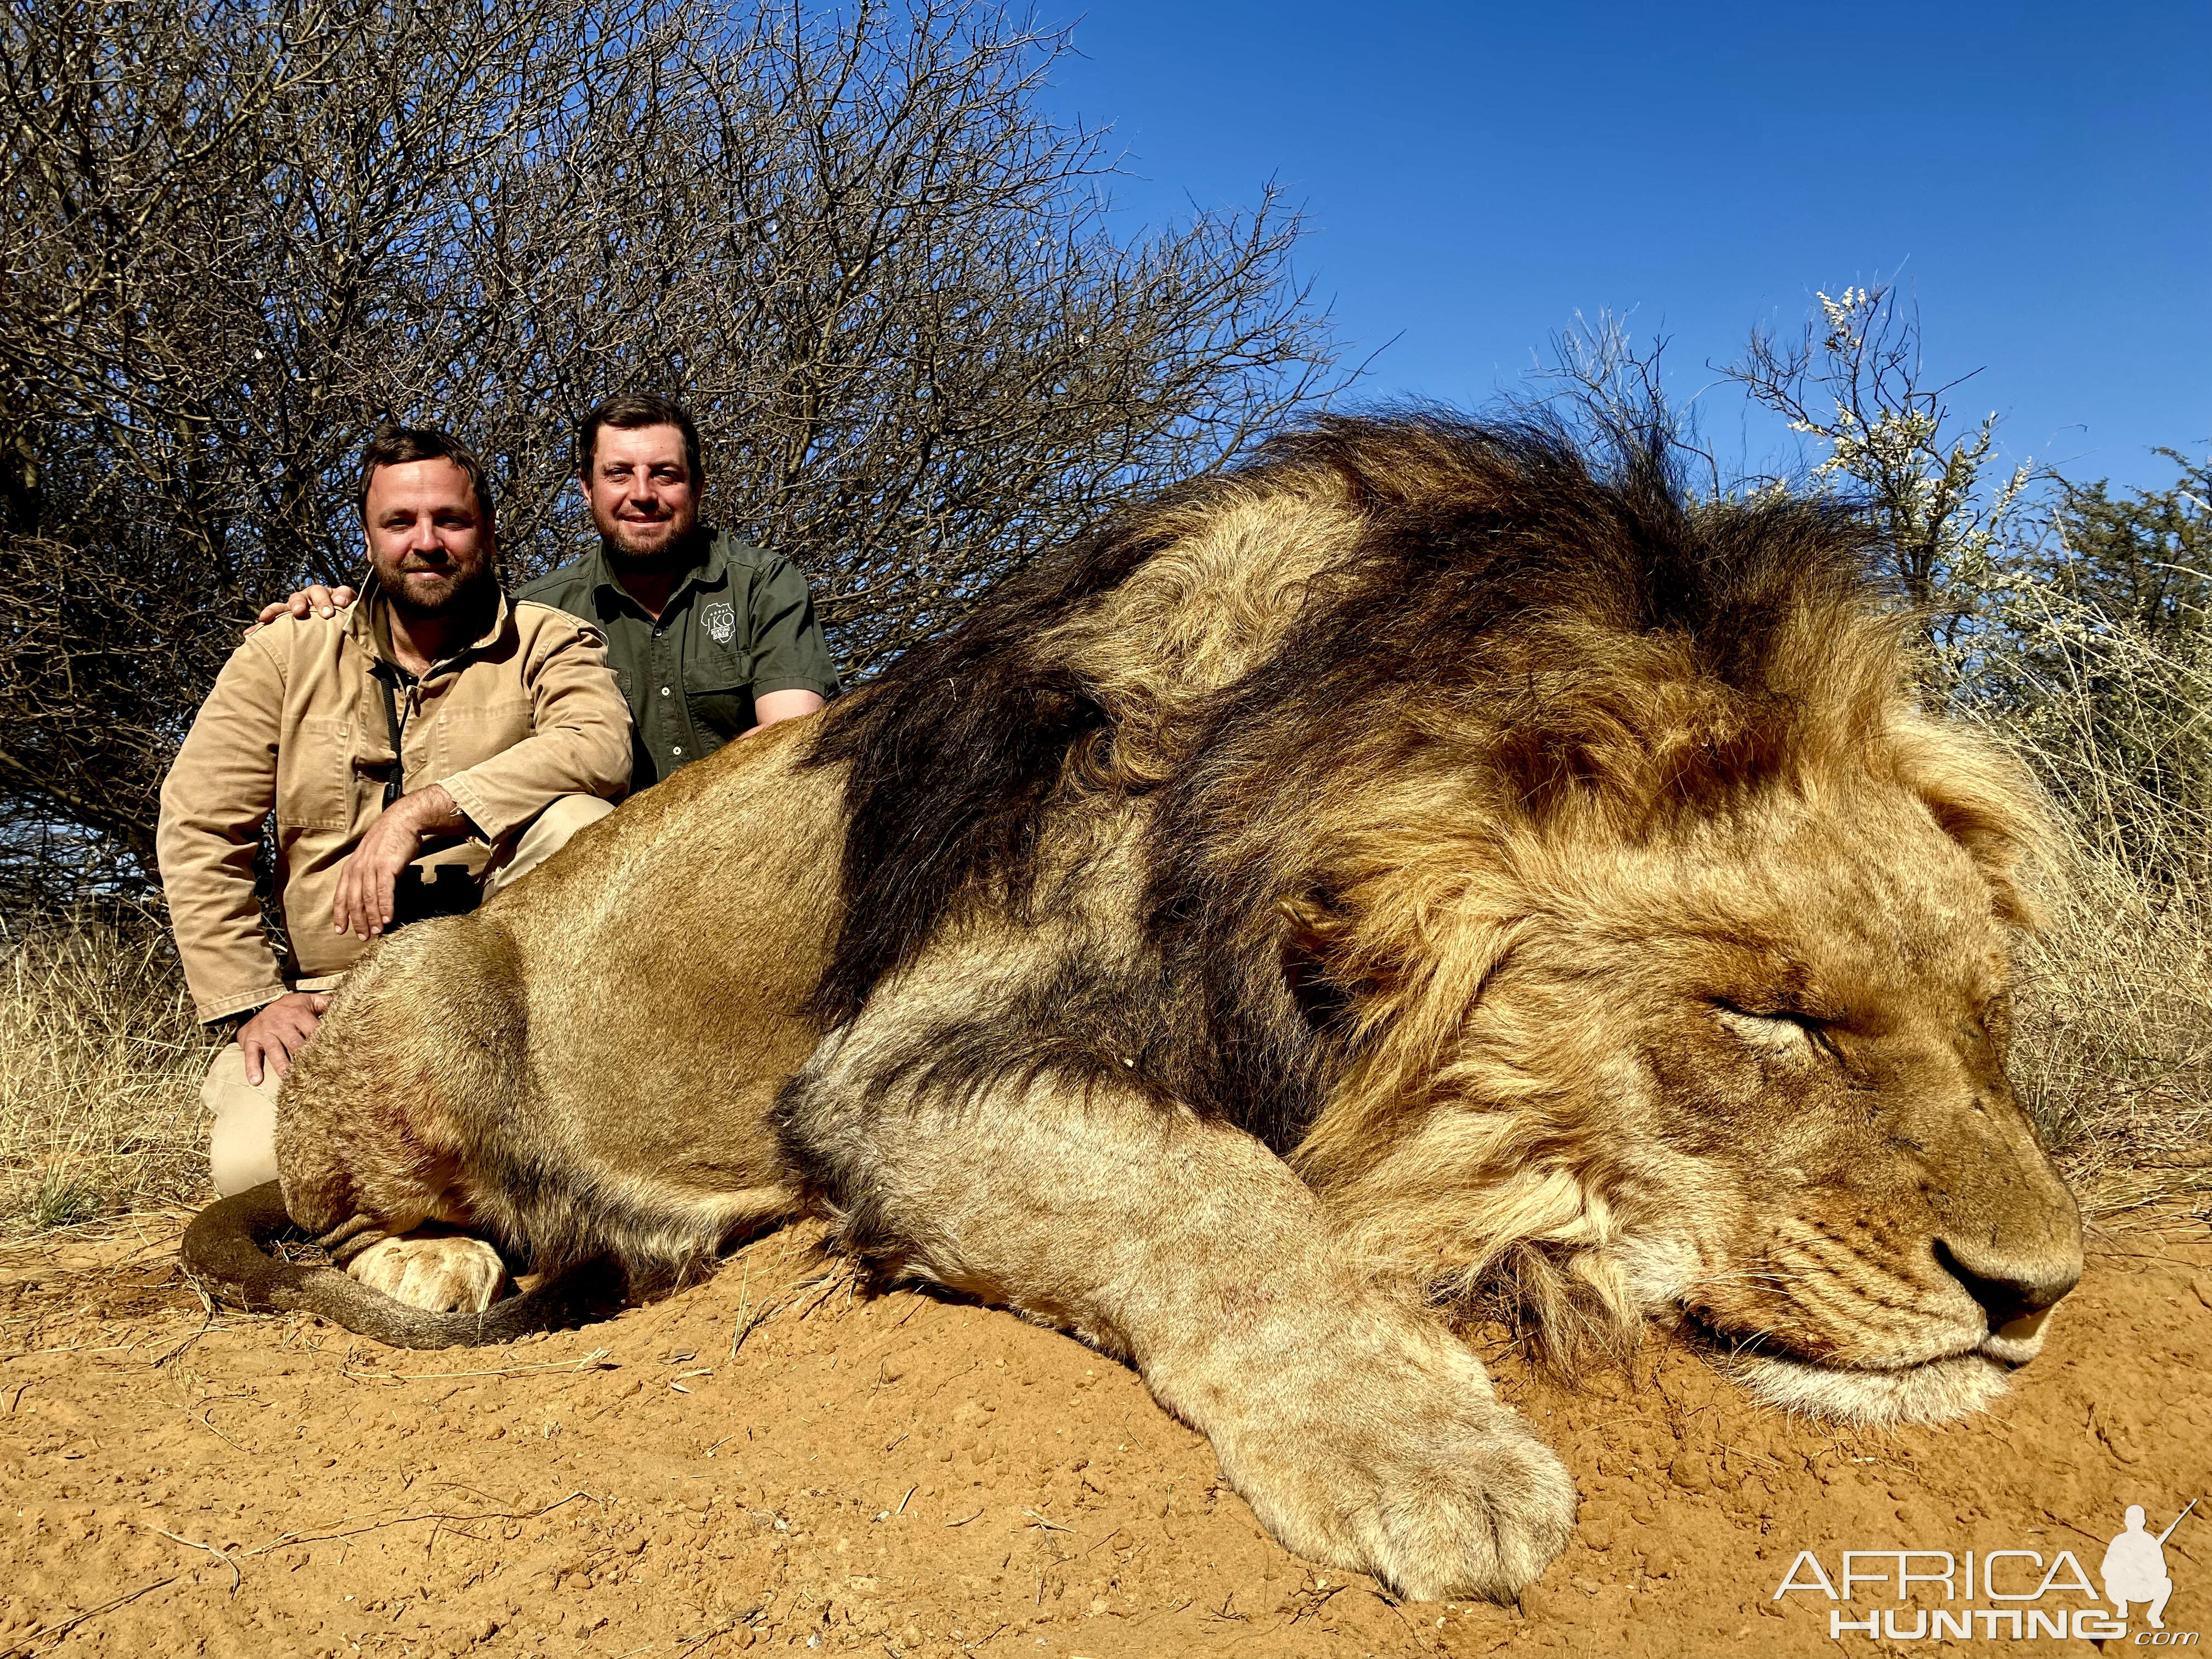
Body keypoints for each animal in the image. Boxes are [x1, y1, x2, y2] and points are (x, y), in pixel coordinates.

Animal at [185, 418, 2070, 1610]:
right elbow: (1216, 1195)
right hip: (427, 989)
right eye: (1770, 1016)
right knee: (336, 1215)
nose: (2037, 1295)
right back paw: (442, 1260)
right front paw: (1432, 1455)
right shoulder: (894, 1075)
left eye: (1986, 1015)